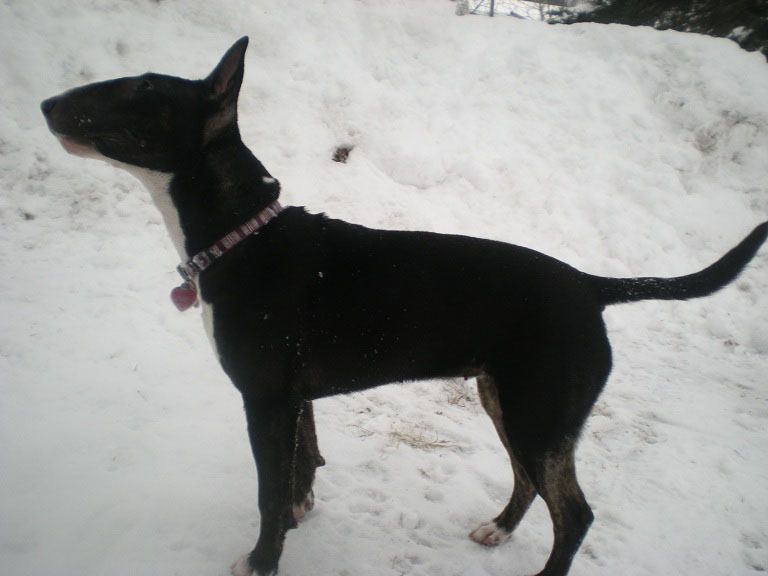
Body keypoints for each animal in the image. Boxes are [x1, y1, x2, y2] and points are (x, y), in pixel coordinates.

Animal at [41, 37, 766, 576]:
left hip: (538, 413)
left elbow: (269, 492)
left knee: (575, 512)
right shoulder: (293, 398)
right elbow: (302, 467)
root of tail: (591, 285)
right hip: (505, 399)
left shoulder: (264, 399)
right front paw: (300, 516)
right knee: (531, 483)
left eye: (143, 89)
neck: (241, 236)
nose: (47, 103)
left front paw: (263, 560)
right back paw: (497, 530)